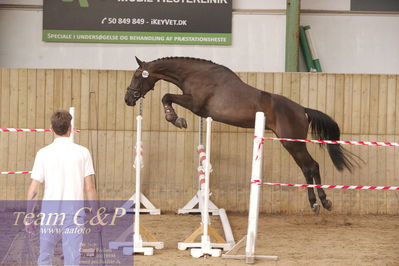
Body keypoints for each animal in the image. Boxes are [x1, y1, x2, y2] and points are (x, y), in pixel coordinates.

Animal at [125, 56, 356, 214]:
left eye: (137, 76)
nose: (128, 99)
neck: (195, 75)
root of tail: (302, 109)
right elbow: (167, 96)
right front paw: (175, 118)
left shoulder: (195, 104)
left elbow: (166, 96)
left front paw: (175, 119)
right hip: (291, 143)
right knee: (307, 168)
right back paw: (318, 202)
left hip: (293, 144)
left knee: (311, 166)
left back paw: (320, 202)